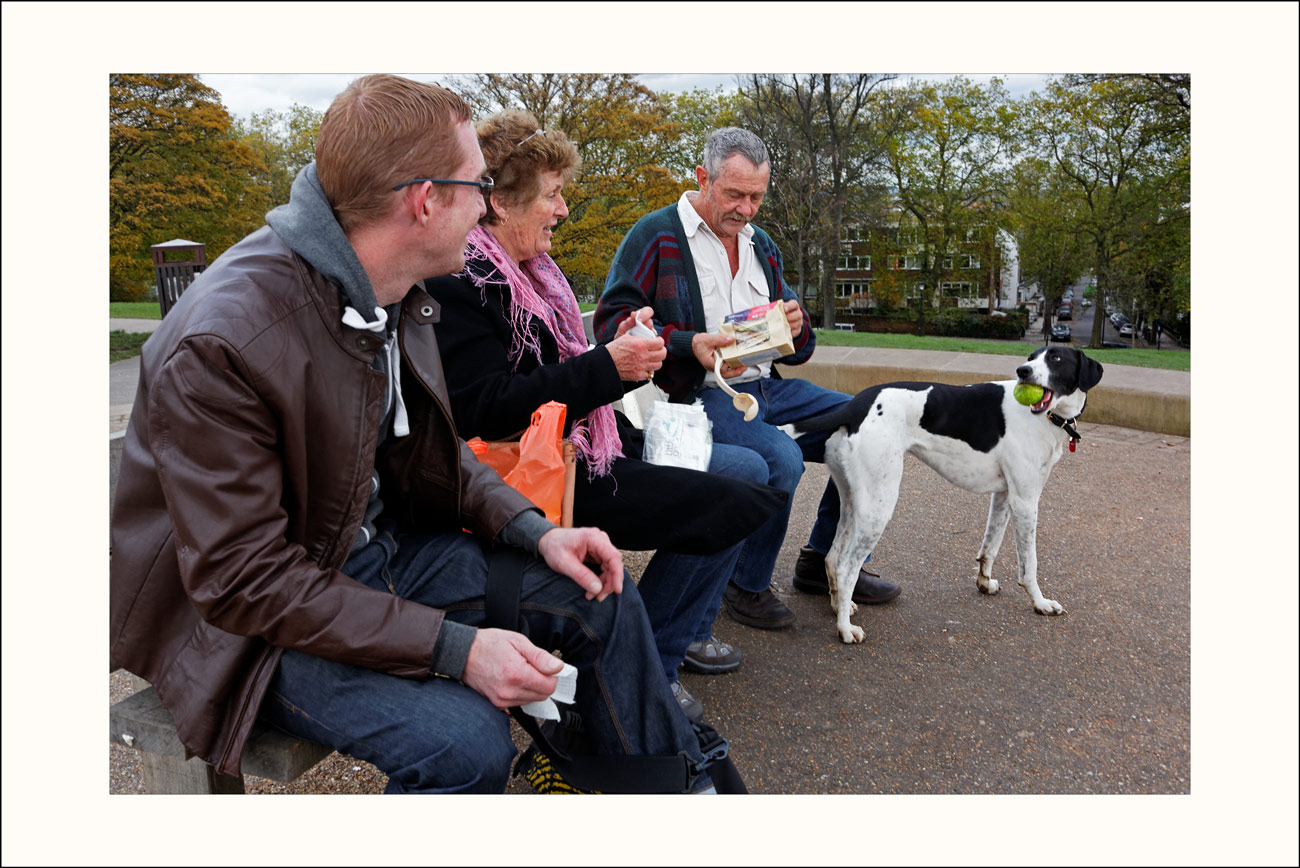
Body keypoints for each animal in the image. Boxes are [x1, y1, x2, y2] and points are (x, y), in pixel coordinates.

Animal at [785, 348, 1102, 644]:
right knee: (847, 567)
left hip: (851, 502)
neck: (1045, 417)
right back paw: (845, 630)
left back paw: (840, 606)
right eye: (1032, 358)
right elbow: (1029, 564)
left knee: (832, 559)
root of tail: (855, 406)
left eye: (1056, 358)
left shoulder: (1003, 496)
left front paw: (985, 583)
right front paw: (1040, 603)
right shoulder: (1025, 501)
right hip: (878, 506)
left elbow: (990, 547)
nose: (1022, 371)